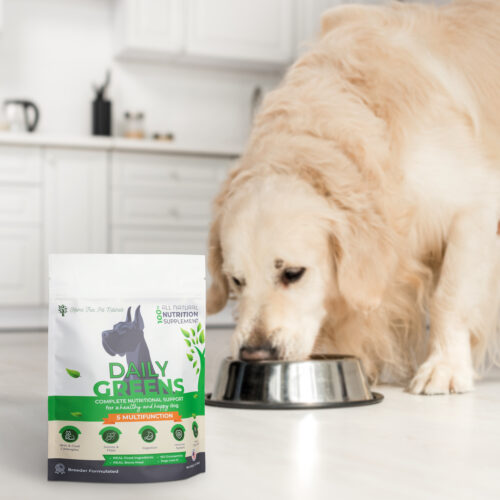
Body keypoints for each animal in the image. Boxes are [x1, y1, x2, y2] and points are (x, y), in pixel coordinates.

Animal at [205, 1, 498, 396]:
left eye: (293, 274)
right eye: (237, 280)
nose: (255, 352)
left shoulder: (475, 207)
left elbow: (449, 298)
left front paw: (445, 367)